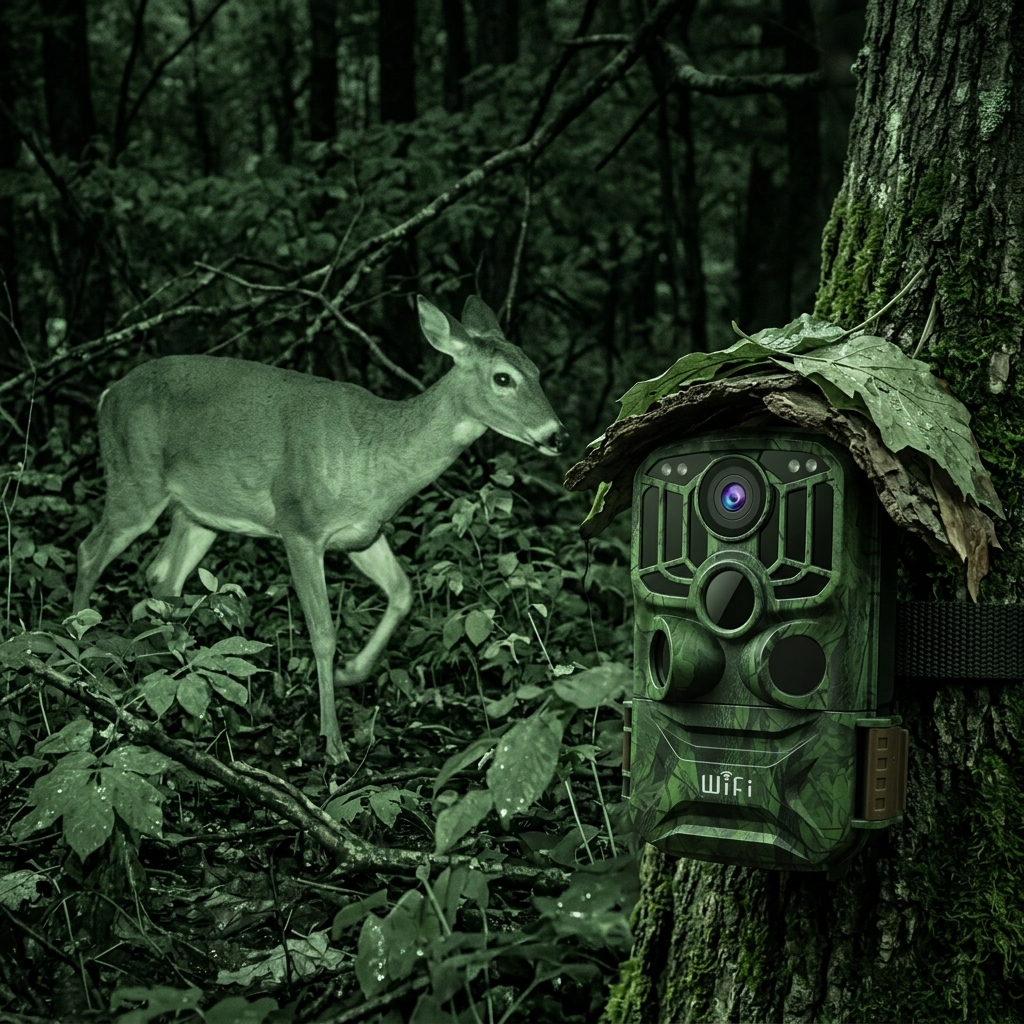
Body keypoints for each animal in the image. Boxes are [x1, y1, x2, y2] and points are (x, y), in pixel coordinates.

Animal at [73, 295, 568, 763]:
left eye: (537, 371)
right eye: (503, 378)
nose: (557, 434)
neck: (377, 455)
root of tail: (107, 395)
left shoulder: (364, 534)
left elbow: (403, 592)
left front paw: (351, 672)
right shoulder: (299, 526)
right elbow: (324, 633)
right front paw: (333, 741)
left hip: (200, 512)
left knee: (162, 576)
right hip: (135, 480)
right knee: (90, 551)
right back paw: (80, 662)